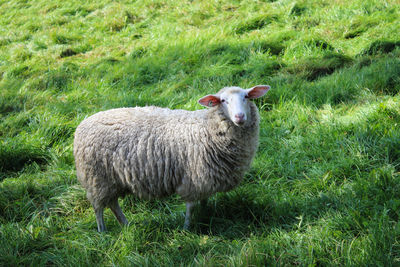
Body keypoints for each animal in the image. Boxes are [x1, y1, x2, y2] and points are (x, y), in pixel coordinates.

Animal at [73, 85, 270, 231]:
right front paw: (187, 228)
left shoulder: (206, 178)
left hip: (111, 180)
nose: (239, 116)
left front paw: (205, 216)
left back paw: (126, 225)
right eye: (223, 100)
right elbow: (190, 207)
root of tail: (82, 125)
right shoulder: (193, 178)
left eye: (246, 97)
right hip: (96, 178)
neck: (206, 126)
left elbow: (204, 201)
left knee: (113, 204)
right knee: (98, 207)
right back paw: (103, 232)